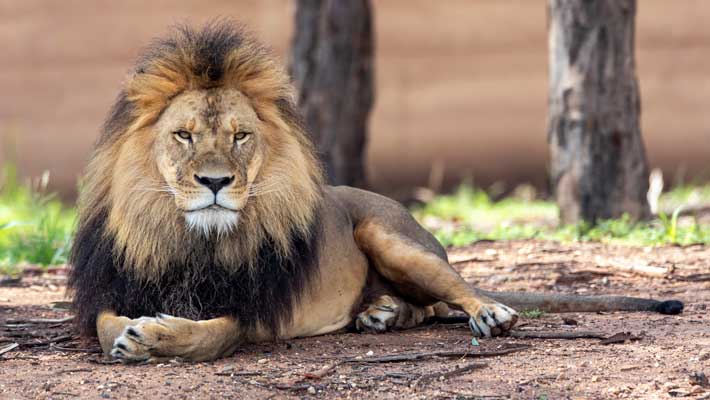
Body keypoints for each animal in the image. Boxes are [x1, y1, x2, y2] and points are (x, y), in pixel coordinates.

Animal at [68, 23, 684, 364]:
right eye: (185, 135)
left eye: (241, 137)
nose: (215, 182)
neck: (192, 240)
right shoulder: (113, 288)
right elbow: (104, 326)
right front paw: (132, 334)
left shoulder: (251, 313)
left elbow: (209, 337)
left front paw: (155, 338)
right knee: (426, 309)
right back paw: (383, 313)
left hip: (390, 236)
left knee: (455, 291)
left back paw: (484, 313)